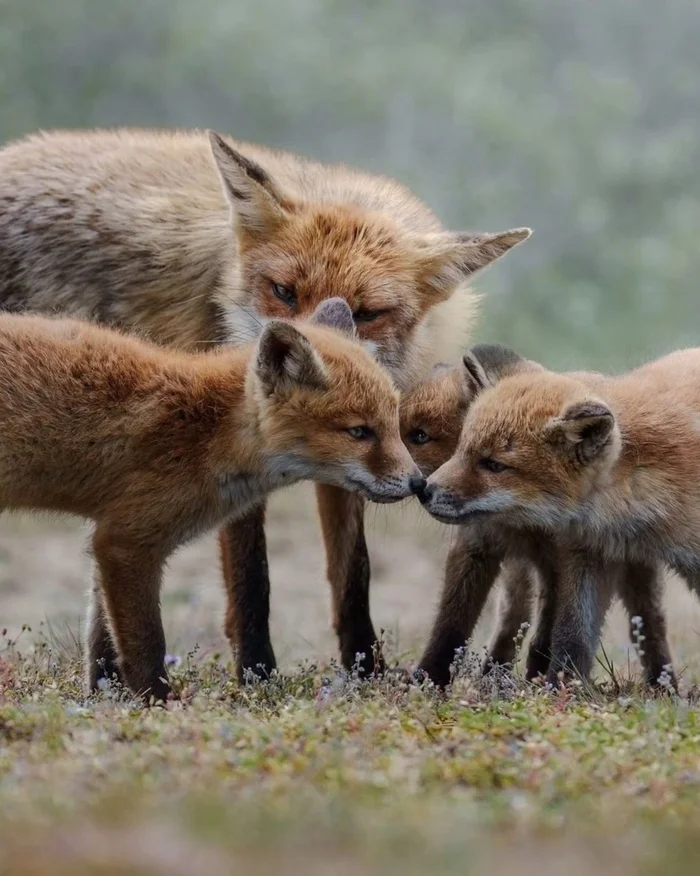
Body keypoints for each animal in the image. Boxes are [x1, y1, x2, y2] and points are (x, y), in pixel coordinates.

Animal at [0, 298, 422, 700]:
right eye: (359, 432)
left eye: (392, 421)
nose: (419, 483)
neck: (206, 432)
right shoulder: (126, 543)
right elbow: (146, 646)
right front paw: (158, 705)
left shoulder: (109, 535)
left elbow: (102, 642)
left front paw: (106, 698)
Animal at [408, 348, 676, 684]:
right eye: (461, 449)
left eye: (420, 436)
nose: (423, 490)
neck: (521, 522)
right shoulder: (476, 548)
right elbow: (451, 627)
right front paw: (427, 679)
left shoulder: (559, 561)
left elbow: (548, 633)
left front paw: (537, 680)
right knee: (512, 618)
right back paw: (494, 675)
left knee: (651, 623)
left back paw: (664, 685)